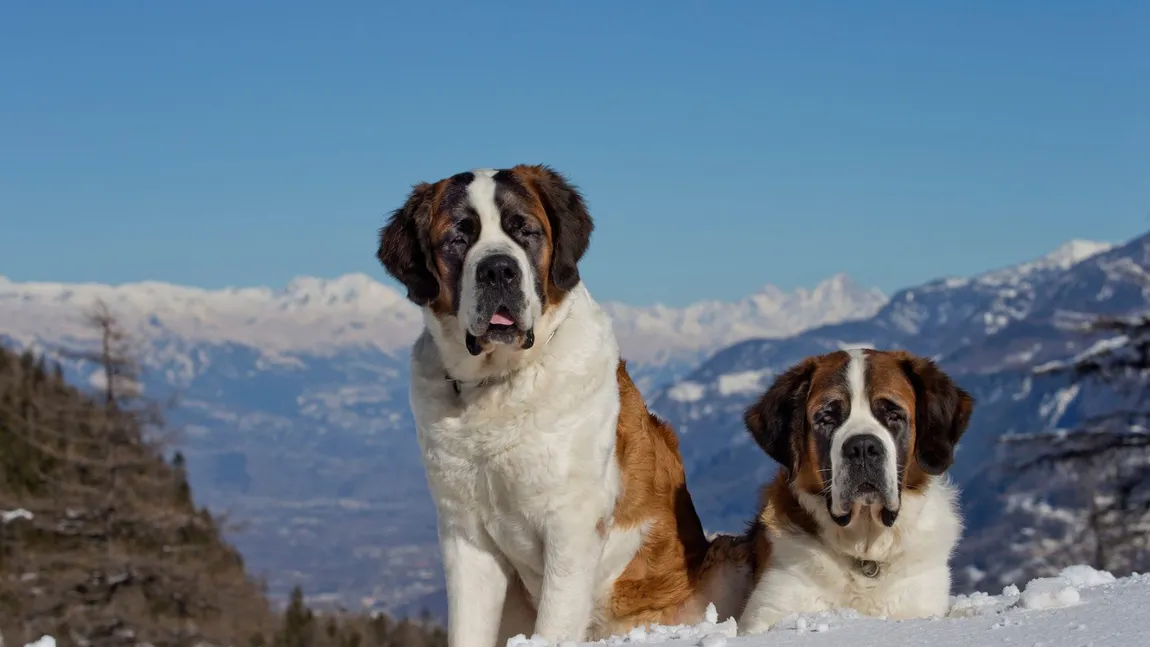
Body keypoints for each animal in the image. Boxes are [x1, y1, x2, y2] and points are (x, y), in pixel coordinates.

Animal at [377, 166, 731, 647]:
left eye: (524, 230)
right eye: (458, 238)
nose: (498, 270)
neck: (499, 384)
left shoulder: (572, 521)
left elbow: (556, 617)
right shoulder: (463, 531)